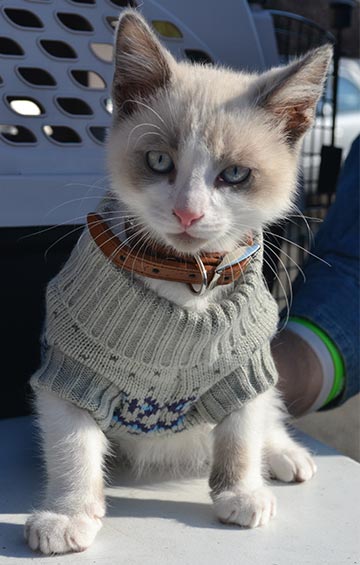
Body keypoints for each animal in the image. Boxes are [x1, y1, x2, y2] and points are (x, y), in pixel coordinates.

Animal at [24, 9, 332, 556]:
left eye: (235, 174)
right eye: (160, 161)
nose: (188, 212)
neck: (187, 282)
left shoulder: (246, 364)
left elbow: (243, 428)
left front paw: (241, 491)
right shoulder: (69, 369)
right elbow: (71, 443)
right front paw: (67, 514)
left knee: (268, 411)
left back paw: (283, 453)